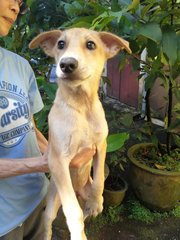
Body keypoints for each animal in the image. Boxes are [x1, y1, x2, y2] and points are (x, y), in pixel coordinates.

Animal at [29, 28, 131, 240]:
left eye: (91, 44)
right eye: (60, 44)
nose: (66, 64)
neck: (81, 105)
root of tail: (77, 190)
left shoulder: (101, 146)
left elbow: (99, 180)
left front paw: (96, 203)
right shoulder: (58, 160)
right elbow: (72, 212)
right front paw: (77, 230)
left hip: (85, 188)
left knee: (86, 208)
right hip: (54, 197)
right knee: (49, 221)